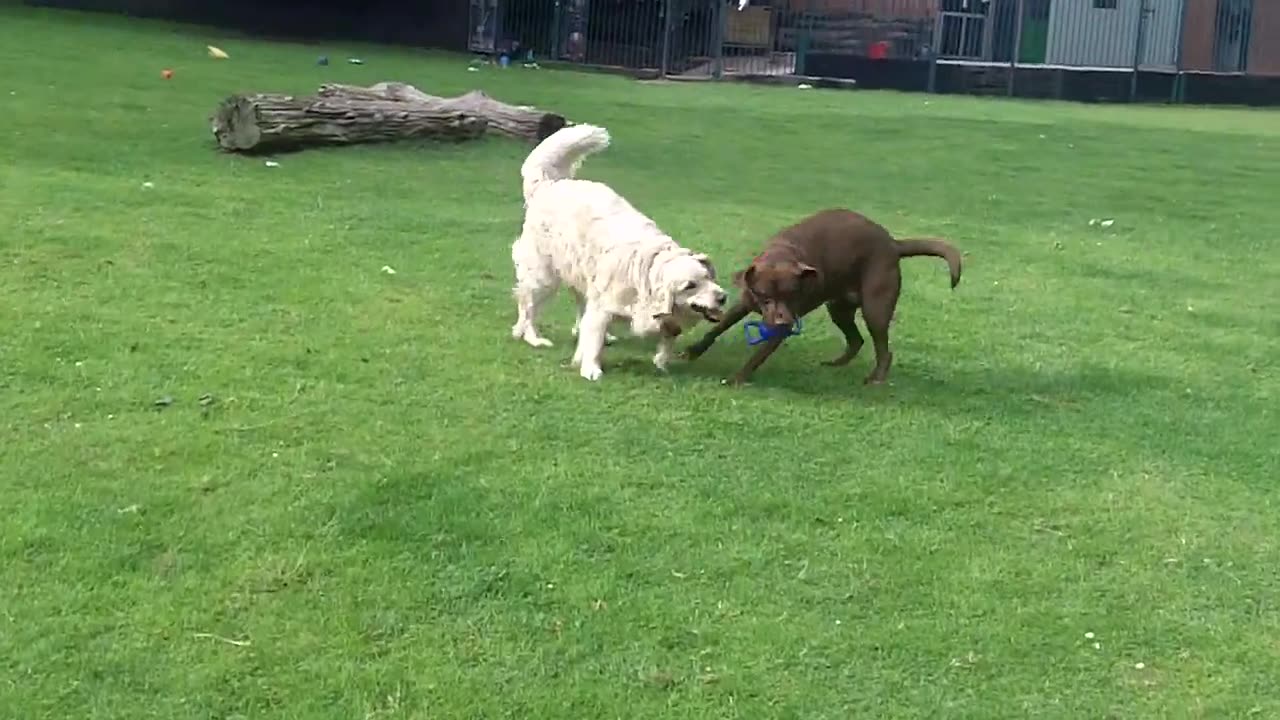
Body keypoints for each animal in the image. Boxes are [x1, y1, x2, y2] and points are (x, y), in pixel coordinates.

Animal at [512, 124, 732, 381]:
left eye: (709, 277)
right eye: (690, 286)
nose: (723, 297)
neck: (648, 272)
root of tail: (550, 185)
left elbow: (667, 338)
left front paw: (661, 363)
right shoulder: (603, 305)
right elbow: (594, 339)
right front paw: (591, 369)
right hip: (543, 277)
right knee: (528, 307)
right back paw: (533, 337)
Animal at [680, 207, 962, 384]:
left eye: (794, 294)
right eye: (765, 296)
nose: (782, 320)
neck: (782, 254)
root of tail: (894, 244)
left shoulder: (784, 324)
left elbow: (758, 355)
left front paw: (738, 378)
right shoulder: (746, 301)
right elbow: (718, 328)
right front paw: (694, 351)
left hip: (875, 308)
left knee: (883, 348)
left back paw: (876, 378)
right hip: (838, 308)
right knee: (856, 340)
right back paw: (837, 364)